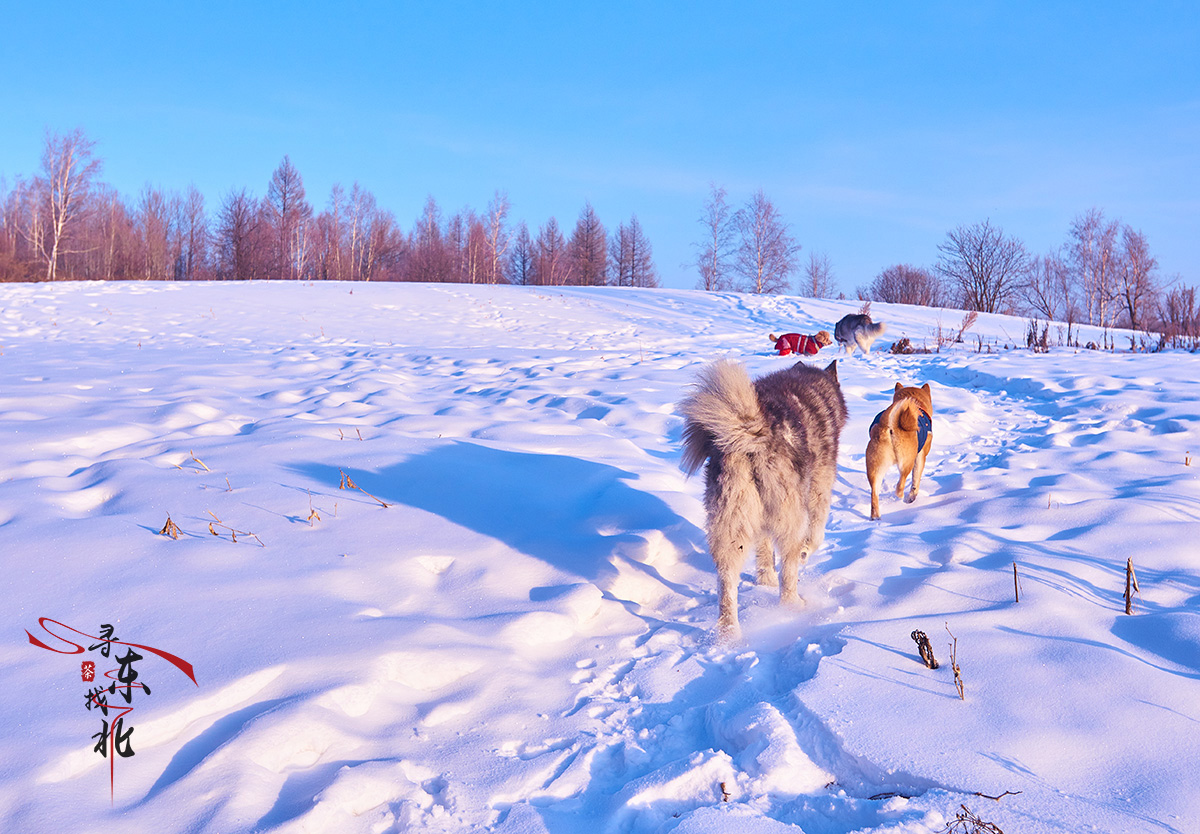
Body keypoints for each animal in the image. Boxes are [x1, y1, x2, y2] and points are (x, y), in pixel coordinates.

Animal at [681, 360, 849, 638]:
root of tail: (755, 432)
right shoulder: (819, 490)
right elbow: (815, 536)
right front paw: (805, 554)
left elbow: (763, 551)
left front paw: (765, 581)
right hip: (791, 515)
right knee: (788, 569)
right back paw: (794, 605)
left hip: (733, 522)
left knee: (727, 580)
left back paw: (729, 633)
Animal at [868, 384, 931, 523]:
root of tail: (889, 426)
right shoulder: (920, 457)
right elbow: (915, 479)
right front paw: (912, 497)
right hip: (907, 462)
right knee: (900, 483)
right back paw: (901, 495)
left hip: (875, 467)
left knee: (874, 493)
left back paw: (876, 516)